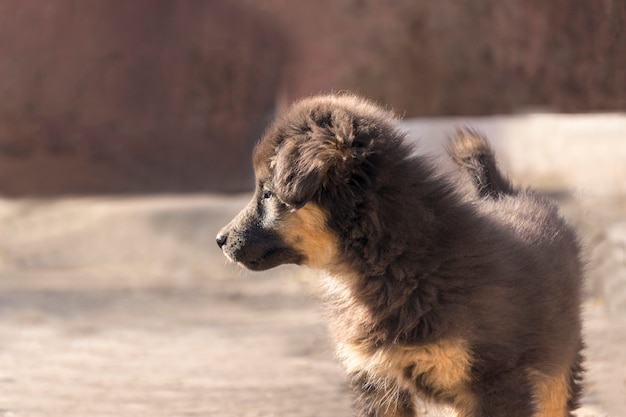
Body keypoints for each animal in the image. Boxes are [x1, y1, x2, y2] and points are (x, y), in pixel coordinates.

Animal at [217, 94, 584, 416]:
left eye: (267, 193)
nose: (220, 240)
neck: (392, 263)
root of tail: (503, 193)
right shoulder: (375, 380)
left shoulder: (497, 382)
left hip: (558, 369)